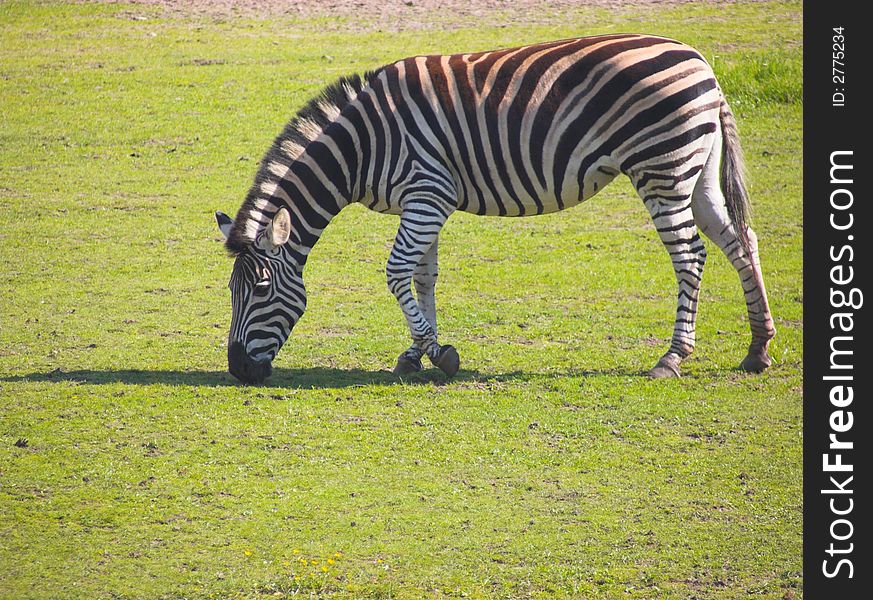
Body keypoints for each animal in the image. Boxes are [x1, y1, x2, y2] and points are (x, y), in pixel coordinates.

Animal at [216, 34, 776, 384]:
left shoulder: (427, 193)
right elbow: (422, 277)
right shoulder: (425, 200)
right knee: (739, 240)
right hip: (695, 166)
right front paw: (416, 353)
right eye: (231, 291)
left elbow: (396, 272)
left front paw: (441, 355)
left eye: (260, 289)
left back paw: (672, 357)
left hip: (661, 168)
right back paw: (757, 349)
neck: (363, 144)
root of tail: (701, 62)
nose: (239, 371)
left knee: (690, 256)